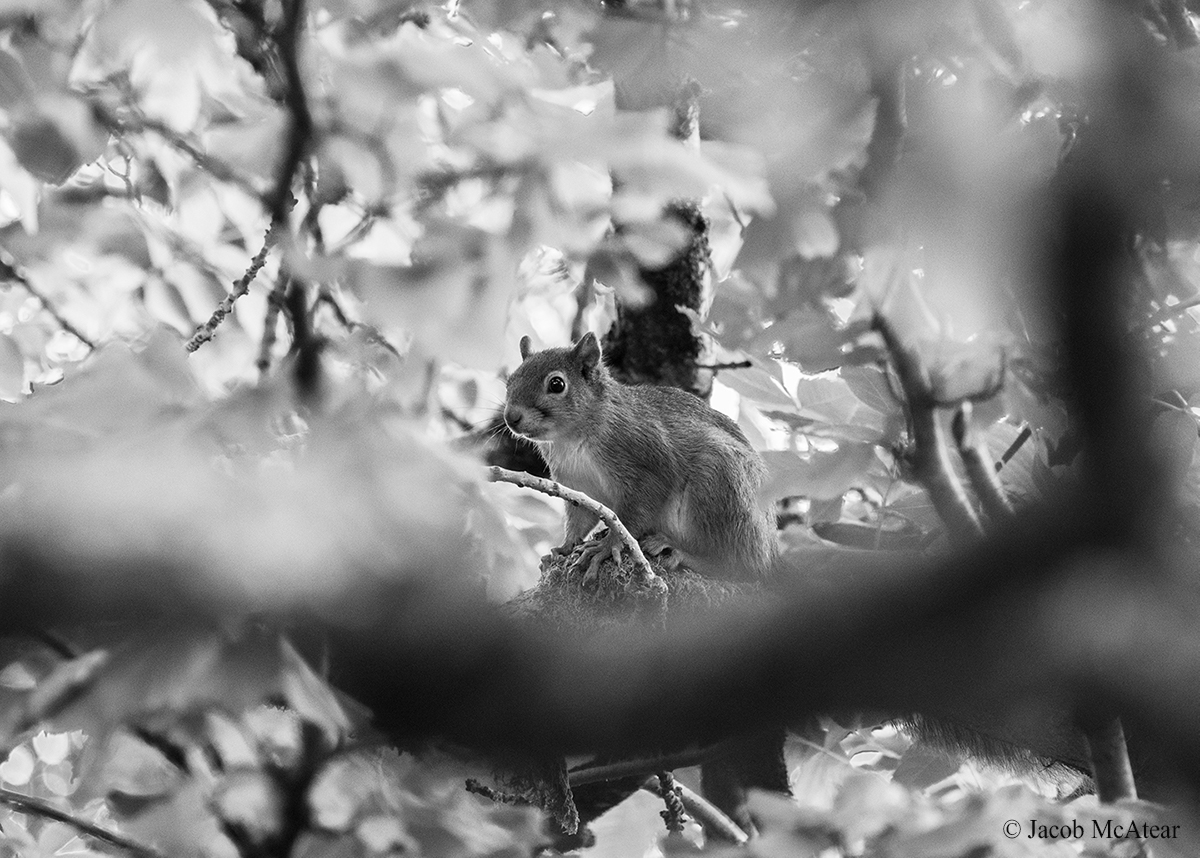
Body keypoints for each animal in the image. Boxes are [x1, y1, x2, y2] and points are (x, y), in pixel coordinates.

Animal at [503, 332, 776, 582]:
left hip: (720, 480)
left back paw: (680, 552)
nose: (511, 417)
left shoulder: (646, 457)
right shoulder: (577, 483)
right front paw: (564, 547)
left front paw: (606, 546)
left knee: (741, 566)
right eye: (509, 382)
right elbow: (580, 518)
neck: (570, 440)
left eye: (557, 384)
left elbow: (635, 512)